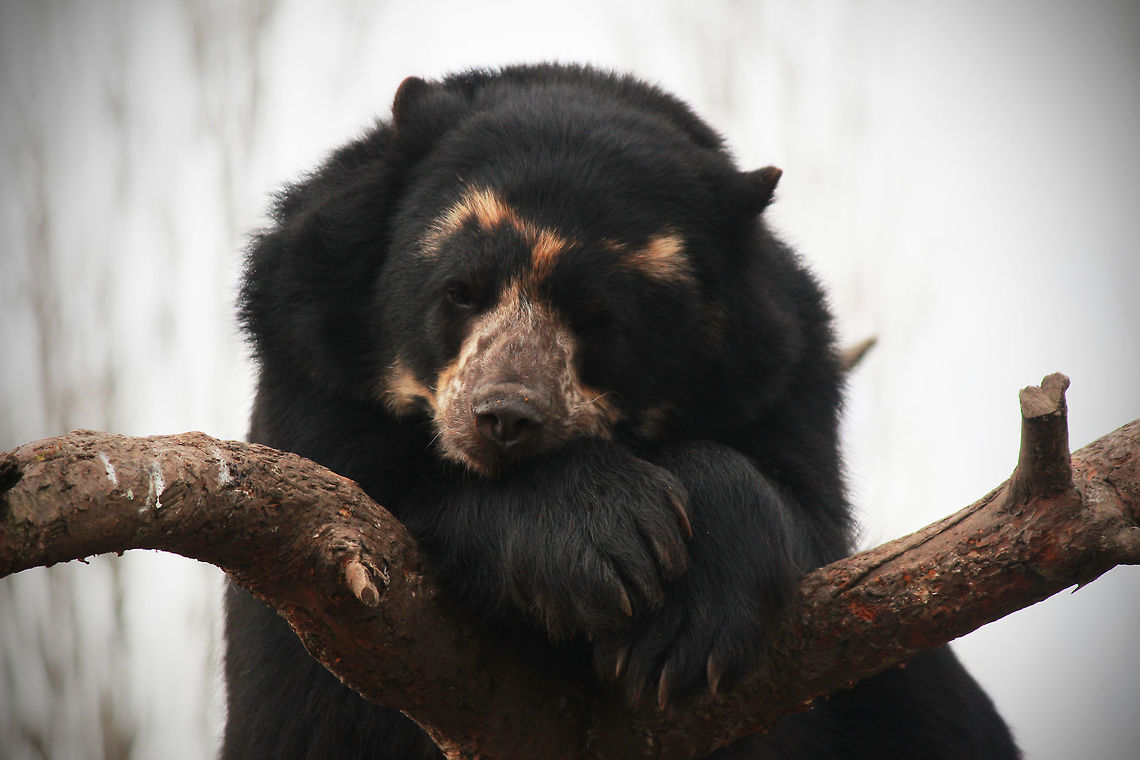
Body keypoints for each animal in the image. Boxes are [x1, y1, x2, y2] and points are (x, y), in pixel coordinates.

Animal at [226, 63, 1020, 759]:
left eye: (601, 317)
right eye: (460, 291)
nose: (504, 418)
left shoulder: (784, 376)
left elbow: (802, 511)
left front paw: (681, 638)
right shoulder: (309, 361)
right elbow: (361, 495)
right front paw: (610, 543)